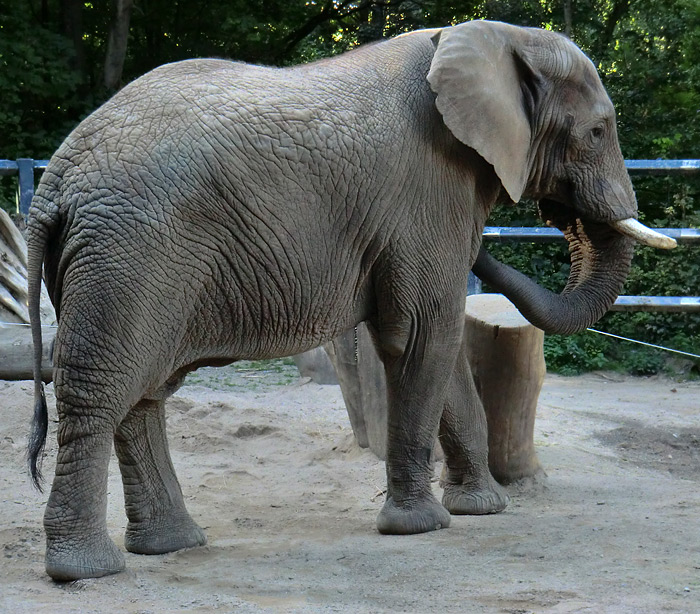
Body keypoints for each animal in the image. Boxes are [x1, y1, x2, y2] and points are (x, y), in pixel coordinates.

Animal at [26, 19, 672, 584]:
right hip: (131, 253)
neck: (499, 36)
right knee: (102, 389)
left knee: (143, 391)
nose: (484, 252)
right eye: (598, 131)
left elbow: (442, 347)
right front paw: (422, 527)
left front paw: (483, 510)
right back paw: (86, 571)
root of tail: (54, 181)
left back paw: (170, 545)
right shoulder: (426, 194)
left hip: (128, 262)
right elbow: (421, 336)